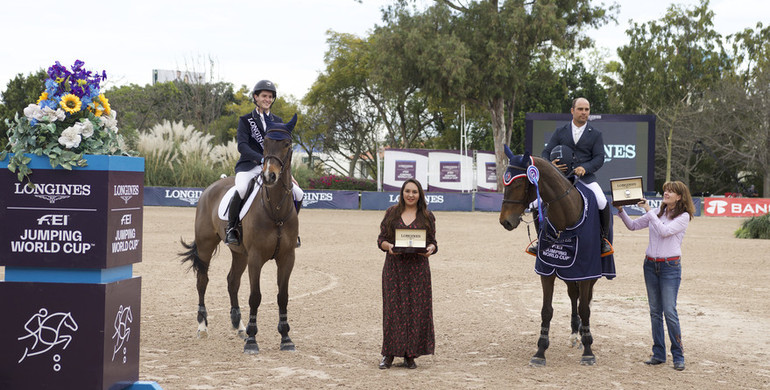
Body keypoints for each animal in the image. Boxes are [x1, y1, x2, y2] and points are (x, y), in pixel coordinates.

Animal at [182, 114, 298, 354]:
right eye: (266, 143)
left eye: (286, 144)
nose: (270, 176)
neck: (276, 210)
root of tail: (210, 188)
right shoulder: (256, 257)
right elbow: (255, 296)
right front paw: (253, 341)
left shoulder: (287, 257)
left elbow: (283, 296)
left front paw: (285, 338)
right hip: (206, 246)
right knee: (202, 280)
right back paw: (202, 326)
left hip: (239, 253)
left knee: (232, 281)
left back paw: (239, 325)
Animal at [498, 145, 612, 368]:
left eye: (519, 183)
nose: (505, 221)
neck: (565, 216)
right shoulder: (548, 270)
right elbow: (546, 310)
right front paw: (540, 352)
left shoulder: (586, 271)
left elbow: (585, 309)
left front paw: (588, 351)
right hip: (568, 273)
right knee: (573, 296)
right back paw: (575, 334)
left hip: (592, 272)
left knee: (585, 301)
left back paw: (583, 336)